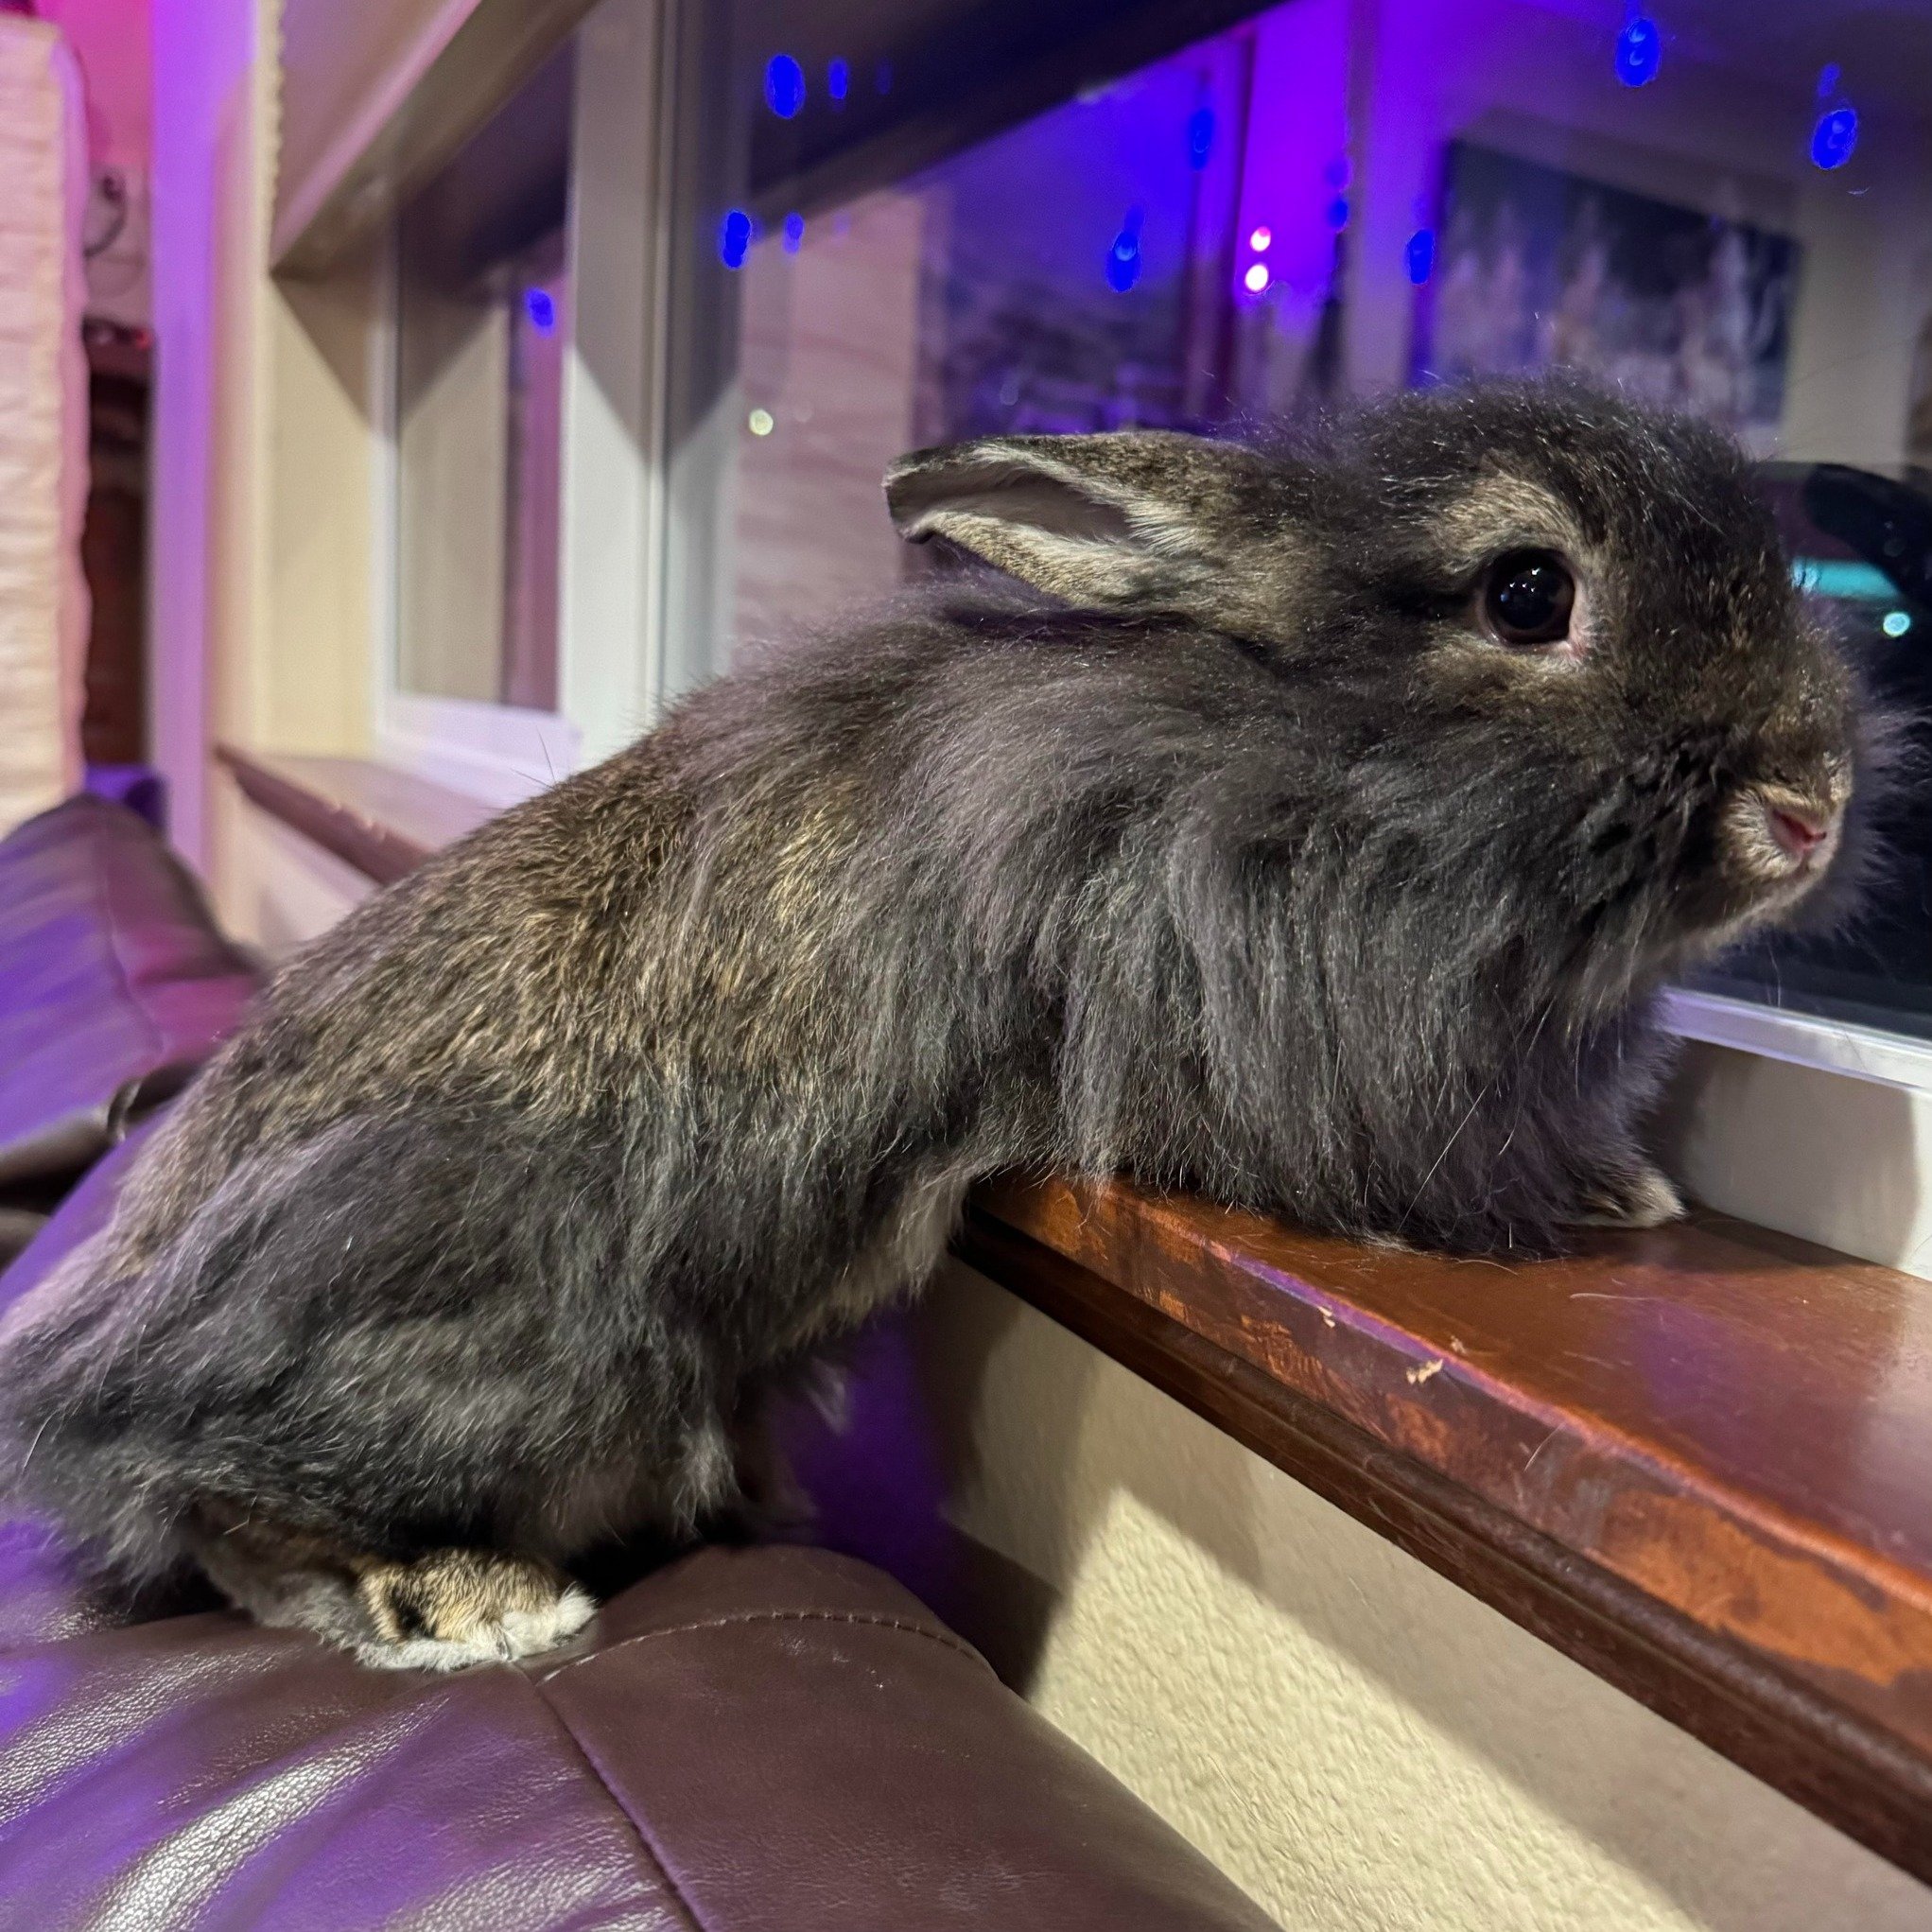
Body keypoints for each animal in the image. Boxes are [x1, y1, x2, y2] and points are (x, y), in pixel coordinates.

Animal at [0, 384, 1877, 1669]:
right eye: (1523, 592)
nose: (1812, 798)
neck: (1286, 752)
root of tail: (95, 1344)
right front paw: (1611, 1195)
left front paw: (1625, 1185)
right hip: (531, 1332)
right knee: (208, 1491)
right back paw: (469, 1601)